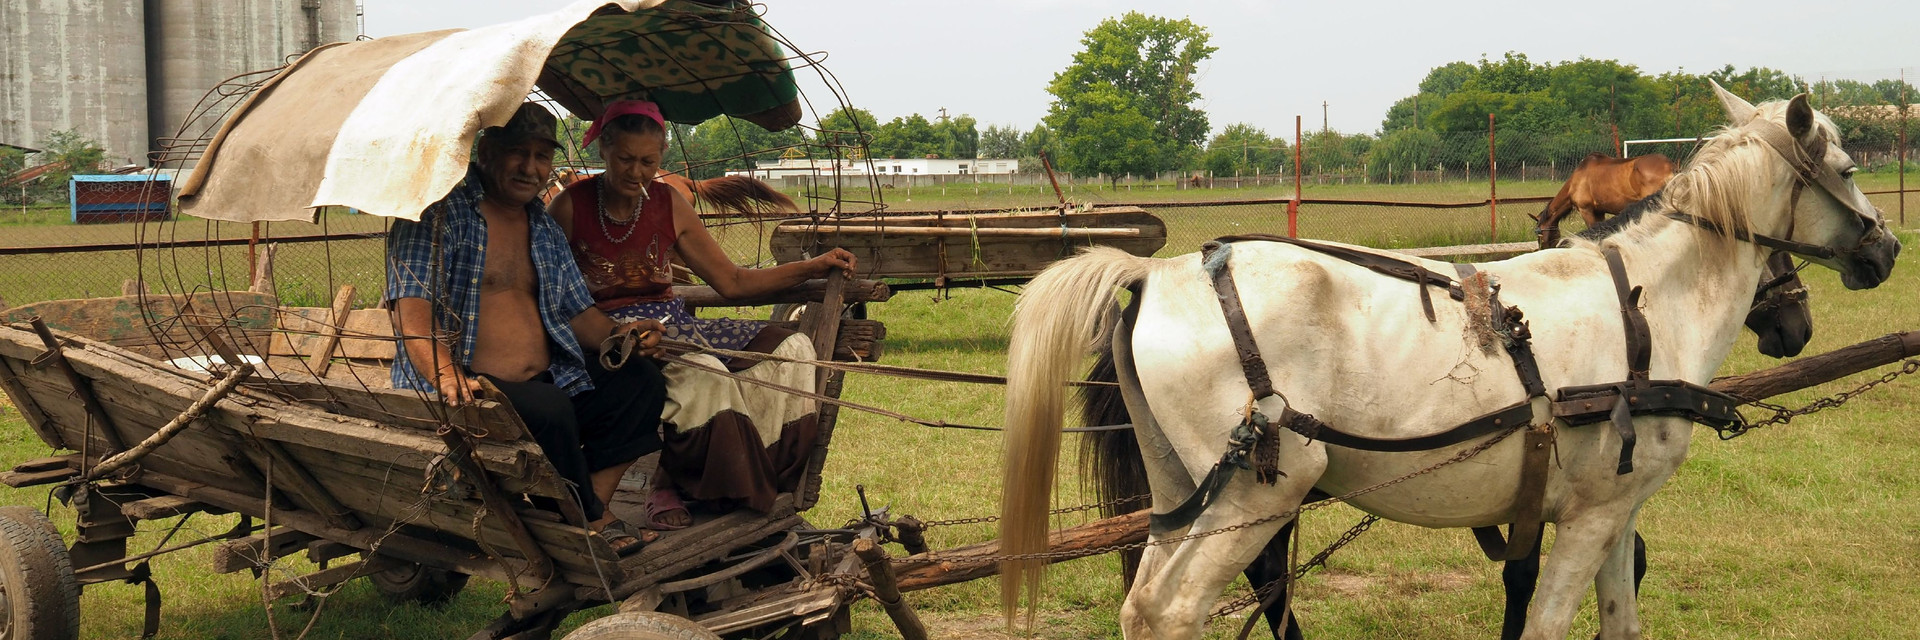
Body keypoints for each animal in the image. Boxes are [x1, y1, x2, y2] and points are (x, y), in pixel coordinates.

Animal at [1081, 188, 1818, 640]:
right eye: (1774, 245)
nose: (1797, 326)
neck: (1629, 309)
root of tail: (1155, 277)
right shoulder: (1583, 494)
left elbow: (1540, 575)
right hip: (1264, 488)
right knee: (1241, 584)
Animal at [1534, 153, 1674, 249]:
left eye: (1538, 233)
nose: (1542, 249)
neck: (1576, 180)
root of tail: (1669, 167)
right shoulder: (1599, 212)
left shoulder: (1586, 210)